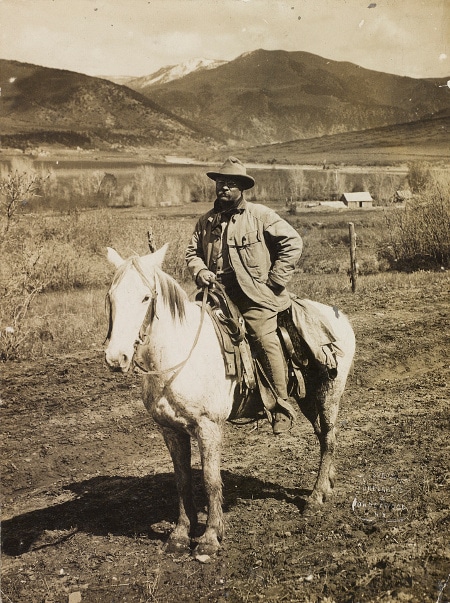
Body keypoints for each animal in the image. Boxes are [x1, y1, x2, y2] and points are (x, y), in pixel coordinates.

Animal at [104, 248, 356, 560]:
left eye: (145, 297)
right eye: (111, 296)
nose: (116, 358)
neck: (178, 357)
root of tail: (338, 316)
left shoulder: (209, 427)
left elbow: (211, 480)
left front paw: (210, 537)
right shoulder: (169, 430)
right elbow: (182, 480)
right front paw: (180, 534)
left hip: (329, 393)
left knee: (329, 438)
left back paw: (316, 496)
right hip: (308, 397)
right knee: (323, 436)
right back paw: (327, 484)